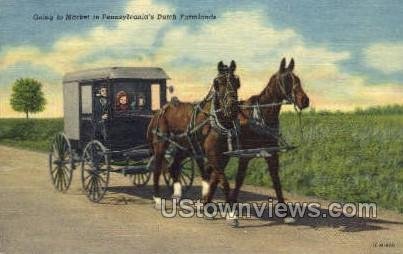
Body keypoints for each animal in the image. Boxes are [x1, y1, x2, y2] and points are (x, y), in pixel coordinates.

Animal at [148, 60, 243, 213]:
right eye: (218, 82)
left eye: (236, 82)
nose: (232, 108)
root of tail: (160, 111)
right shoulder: (212, 154)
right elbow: (223, 181)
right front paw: (231, 213)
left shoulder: (224, 156)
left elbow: (215, 178)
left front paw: (207, 201)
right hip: (160, 145)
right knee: (157, 169)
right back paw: (157, 199)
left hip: (185, 148)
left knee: (174, 167)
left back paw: (177, 197)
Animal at [229, 58, 310, 224]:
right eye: (286, 80)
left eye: (298, 79)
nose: (304, 101)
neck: (260, 117)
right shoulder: (244, 156)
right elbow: (239, 181)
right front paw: (233, 213)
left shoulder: (273, 155)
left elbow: (276, 181)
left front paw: (286, 213)